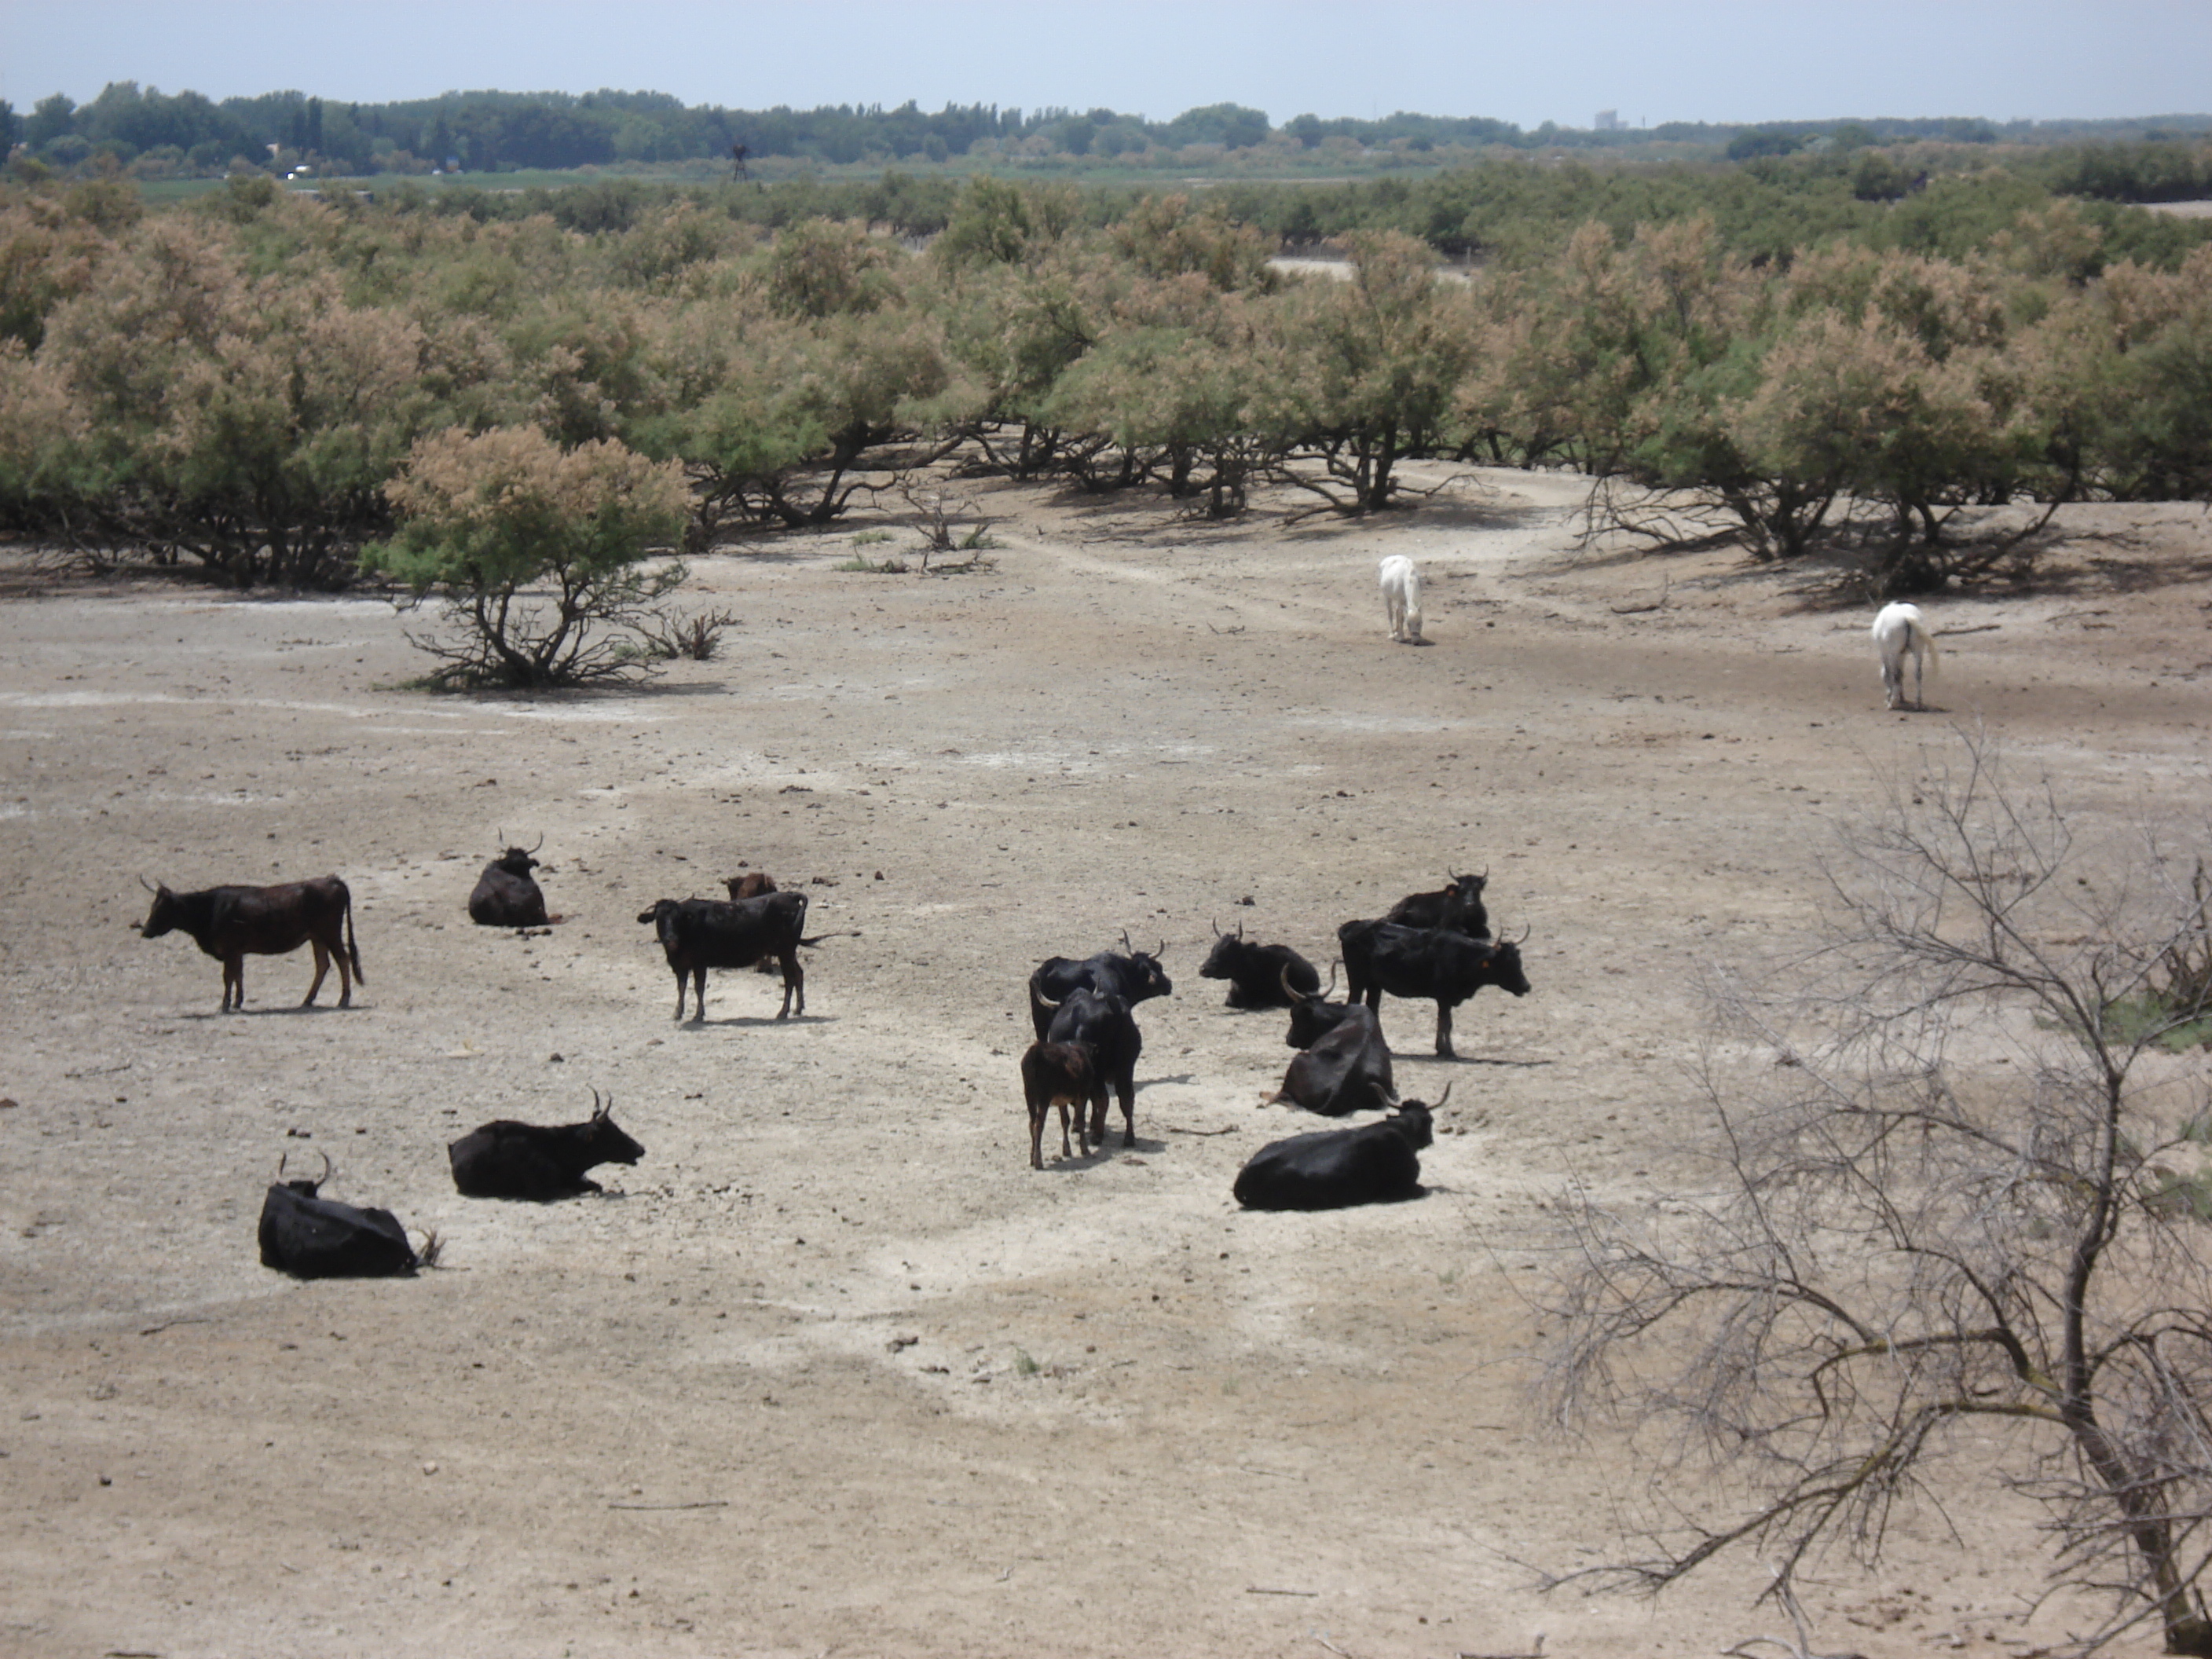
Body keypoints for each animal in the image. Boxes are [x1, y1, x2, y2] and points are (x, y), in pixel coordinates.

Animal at [1875, 606, 1946, 716]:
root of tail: (1907, 617)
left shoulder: (1886, 653)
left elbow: (1889, 674)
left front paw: (1891, 698)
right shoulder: (1902, 654)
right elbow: (1901, 673)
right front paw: (1901, 697)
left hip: (1895, 652)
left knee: (1896, 675)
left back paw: (1892, 703)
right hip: (1918, 651)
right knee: (1918, 674)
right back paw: (1918, 704)